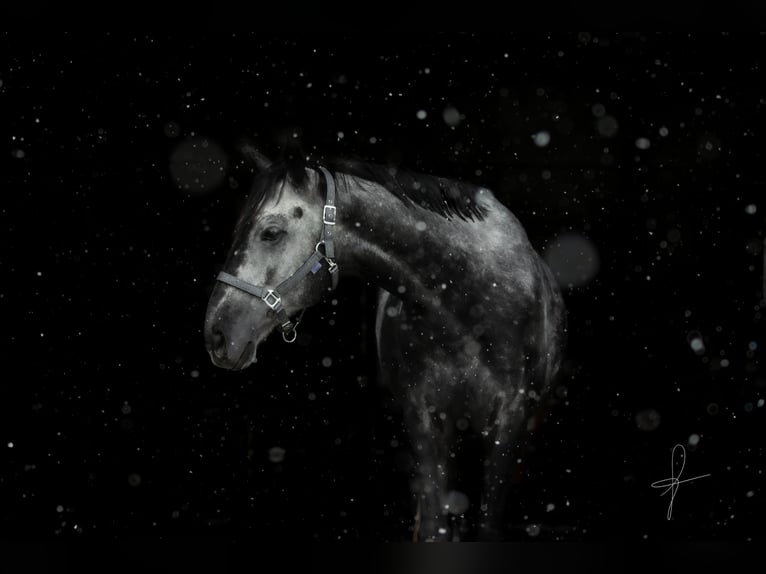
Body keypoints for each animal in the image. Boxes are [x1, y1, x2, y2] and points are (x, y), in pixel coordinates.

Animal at [203, 148, 566, 541]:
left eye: (270, 233)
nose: (216, 333)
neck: (469, 298)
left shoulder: (509, 423)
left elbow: (486, 524)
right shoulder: (425, 420)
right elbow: (436, 526)